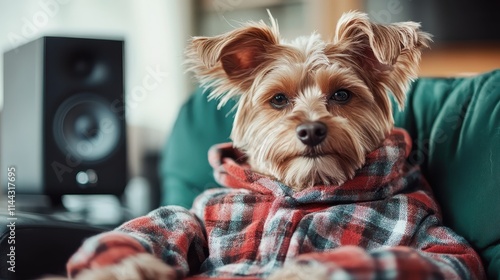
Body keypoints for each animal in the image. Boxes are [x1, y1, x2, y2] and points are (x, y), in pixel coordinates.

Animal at [62, 11, 484, 280]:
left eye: (342, 94)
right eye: (278, 99)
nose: (311, 130)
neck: (300, 188)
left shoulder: (426, 229)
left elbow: (443, 256)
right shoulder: (201, 208)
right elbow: (169, 220)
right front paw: (125, 267)